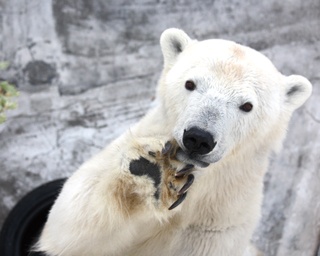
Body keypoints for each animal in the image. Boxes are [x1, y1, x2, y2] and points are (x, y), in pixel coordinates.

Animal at [35, 28, 312, 256]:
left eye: (247, 105)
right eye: (190, 83)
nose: (198, 138)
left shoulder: (221, 217)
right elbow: (71, 220)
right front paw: (153, 168)